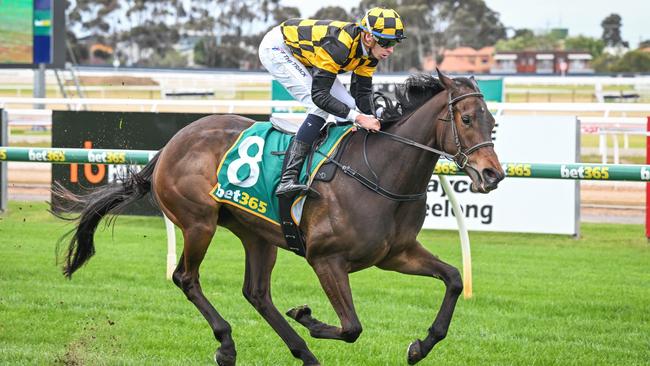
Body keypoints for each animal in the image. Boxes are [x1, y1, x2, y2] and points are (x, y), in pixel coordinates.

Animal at [54, 70, 502, 364]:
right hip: (199, 223)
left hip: (256, 234)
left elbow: (454, 279)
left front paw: (420, 346)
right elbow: (352, 327)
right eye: (465, 119)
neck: (379, 172)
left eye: (493, 123)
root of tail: (171, 144)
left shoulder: (396, 254)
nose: (492, 174)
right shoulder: (326, 259)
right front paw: (308, 318)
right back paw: (228, 344)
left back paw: (303, 353)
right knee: (186, 278)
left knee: (256, 293)